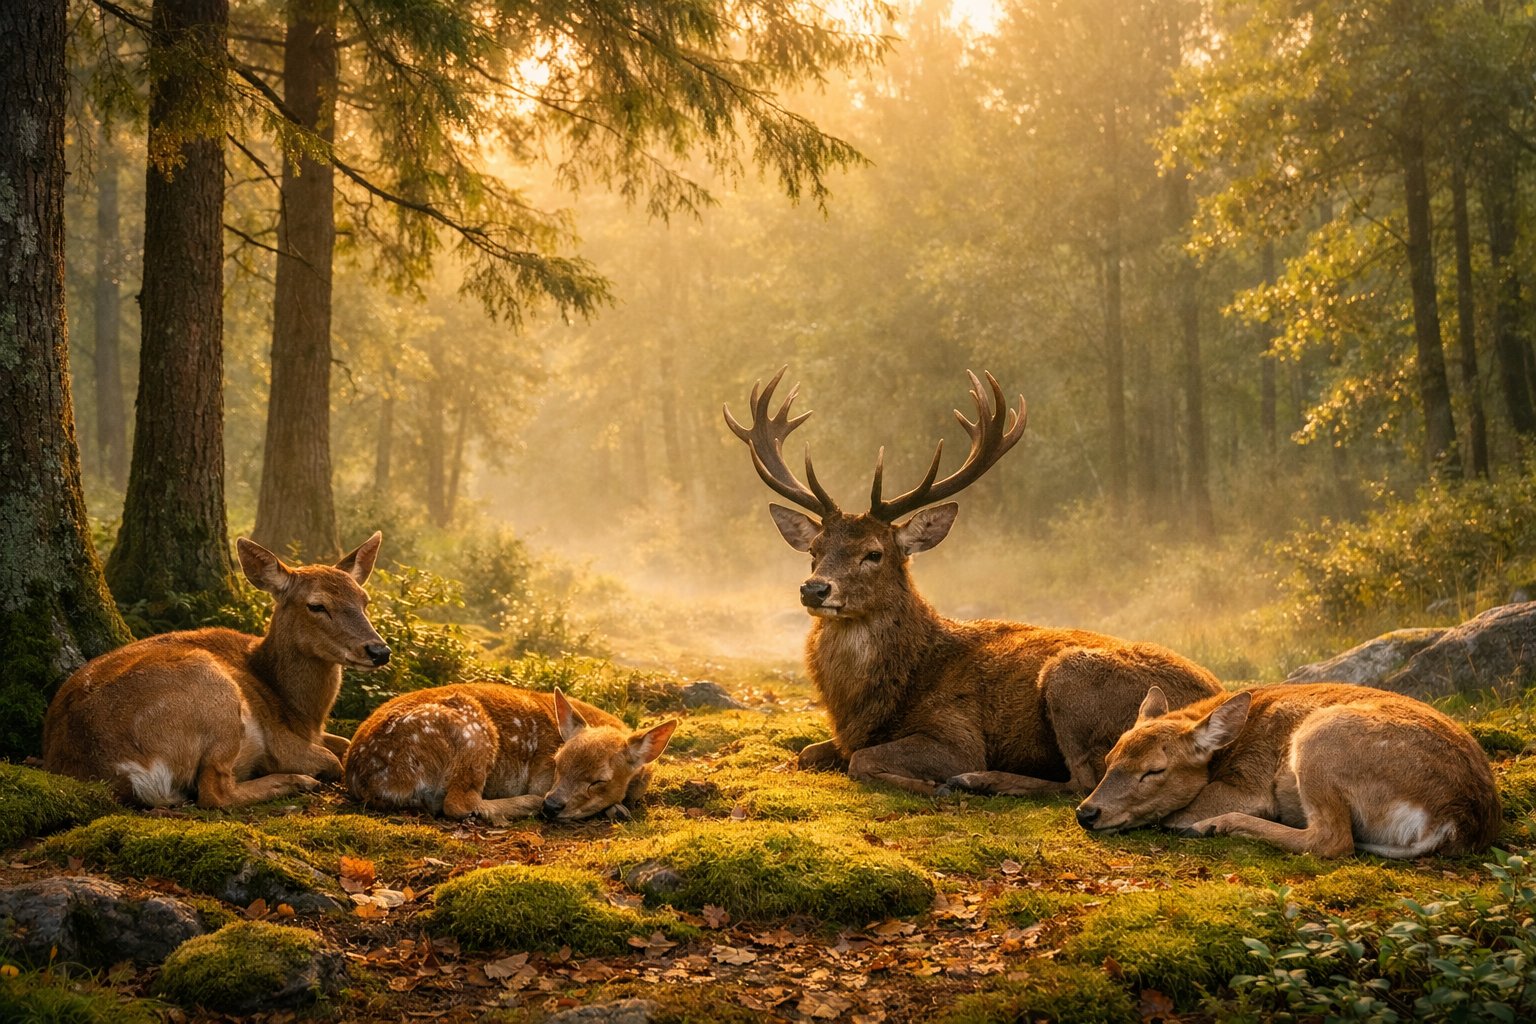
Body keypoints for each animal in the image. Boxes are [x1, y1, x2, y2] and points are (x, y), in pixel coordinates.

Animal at [43, 533, 390, 809]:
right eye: (316, 605)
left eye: (364, 600)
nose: (379, 650)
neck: (299, 711)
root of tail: (123, 770)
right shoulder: (279, 739)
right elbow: (333, 760)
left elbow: (345, 741)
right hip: (214, 695)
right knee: (214, 793)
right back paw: (298, 781)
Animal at [345, 683, 678, 823]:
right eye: (557, 763)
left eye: (599, 780)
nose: (552, 805)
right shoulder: (542, 777)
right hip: (474, 731)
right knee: (458, 803)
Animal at [725, 368, 1224, 798]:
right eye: (814, 550)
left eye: (874, 553)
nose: (814, 589)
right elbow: (809, 753)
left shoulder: (956, 733)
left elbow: (862, 760)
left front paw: (933, 784)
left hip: (1070, 677)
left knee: (1083, 781)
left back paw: (978, 781)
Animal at [1075, 683, 1501, 858]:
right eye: (1109, 759)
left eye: (1154, 770)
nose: (1086, 812)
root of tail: (1456, 820)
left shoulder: (1250, 784)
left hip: (1320, 742)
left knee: (1333, 840)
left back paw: (1214, 825)